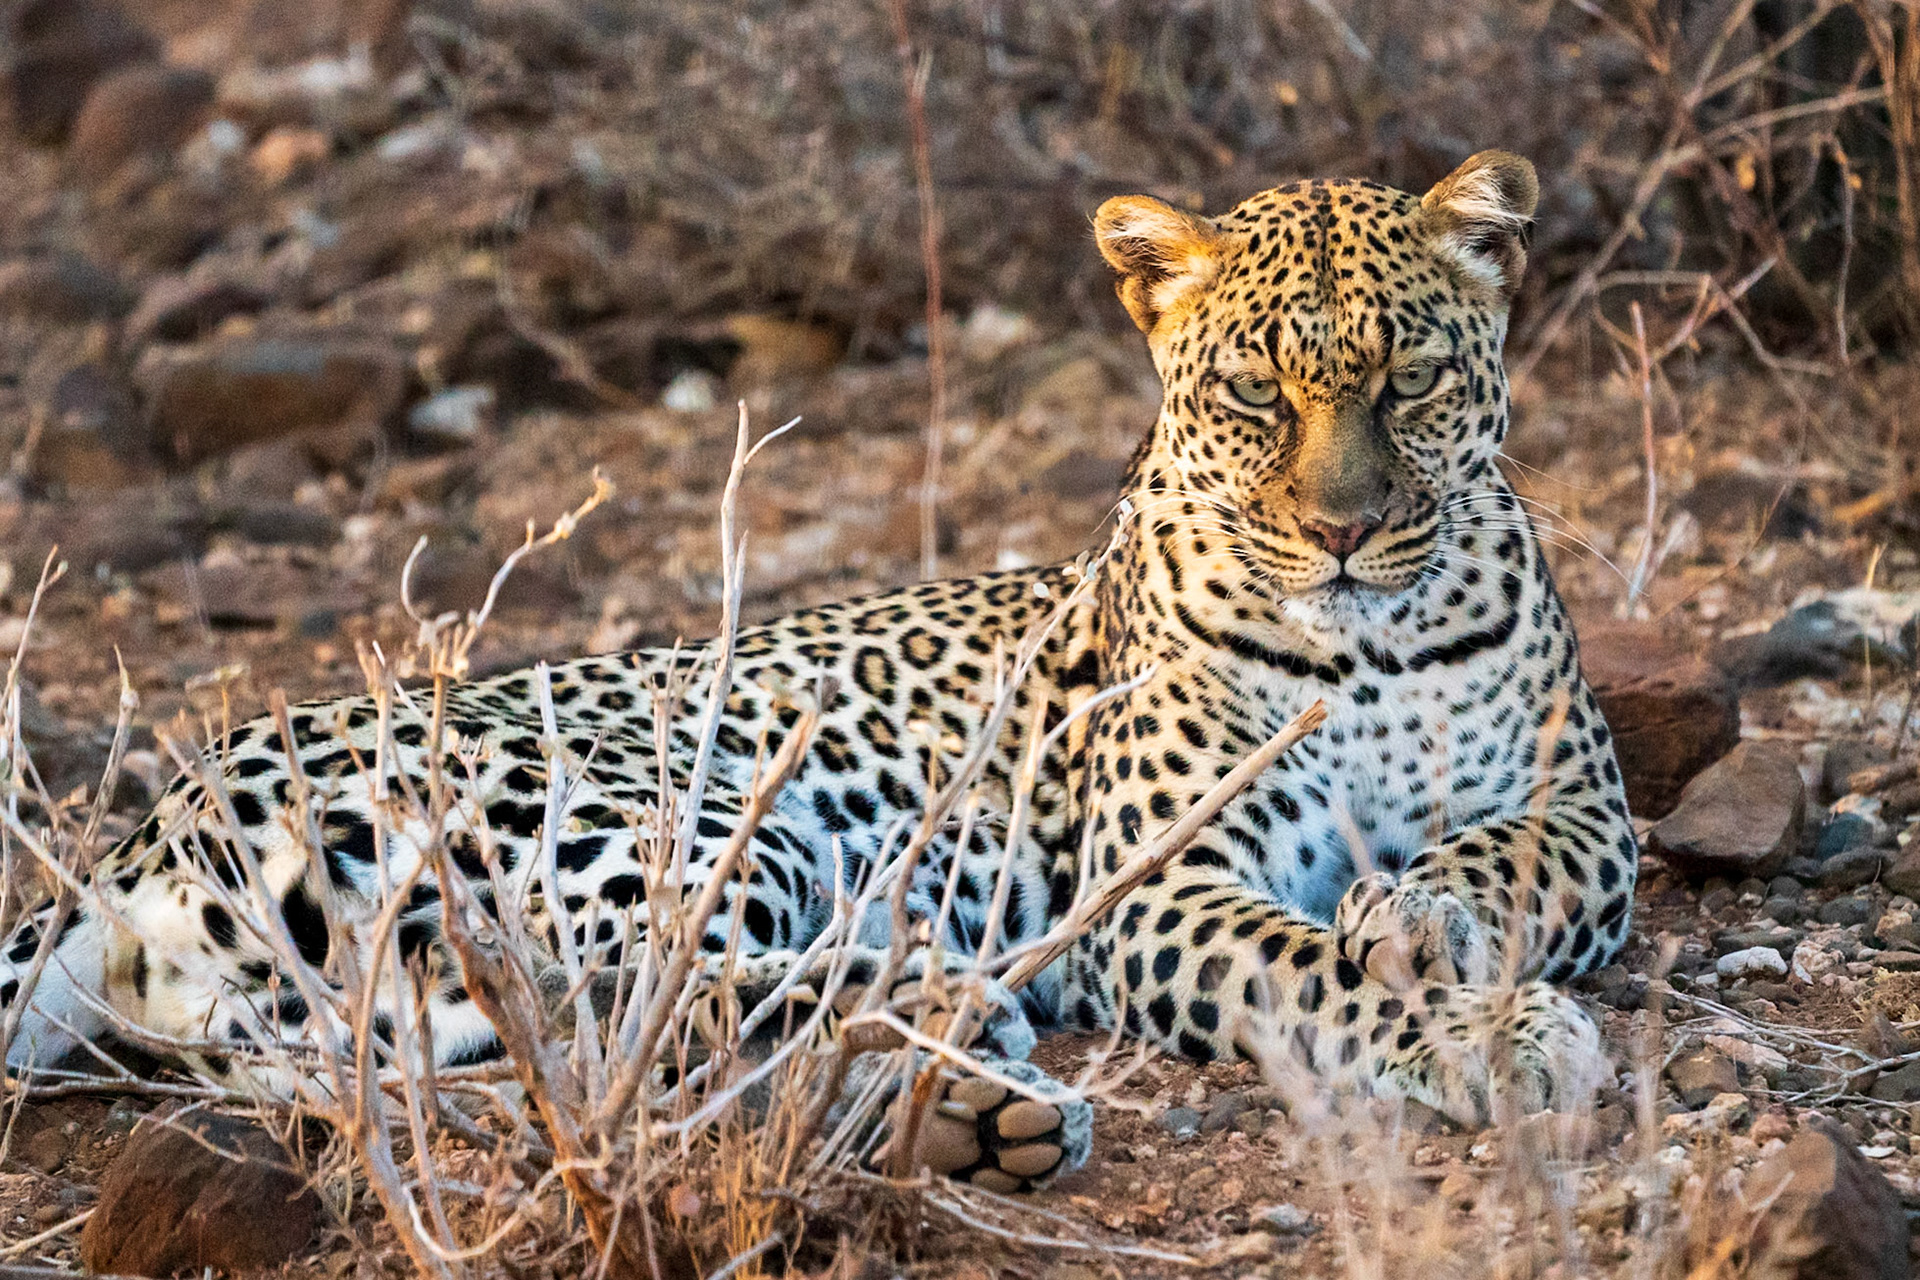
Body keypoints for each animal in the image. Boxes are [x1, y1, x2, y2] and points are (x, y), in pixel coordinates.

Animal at [1, 150, 1636, 1193]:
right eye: (1252, 391)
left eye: (1408, 379)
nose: (1344, 529)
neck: (1373, 639)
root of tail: (140, 830)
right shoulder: (1159, 887)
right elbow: (1317, 972)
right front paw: (1492, 1035)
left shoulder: (1590, 814)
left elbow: (1511, 859)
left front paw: (1424, 911)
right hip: (674, 812)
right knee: (611, 992)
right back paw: (955, 1021)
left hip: (339, 994)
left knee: (454, 1046)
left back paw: (966, 1100)